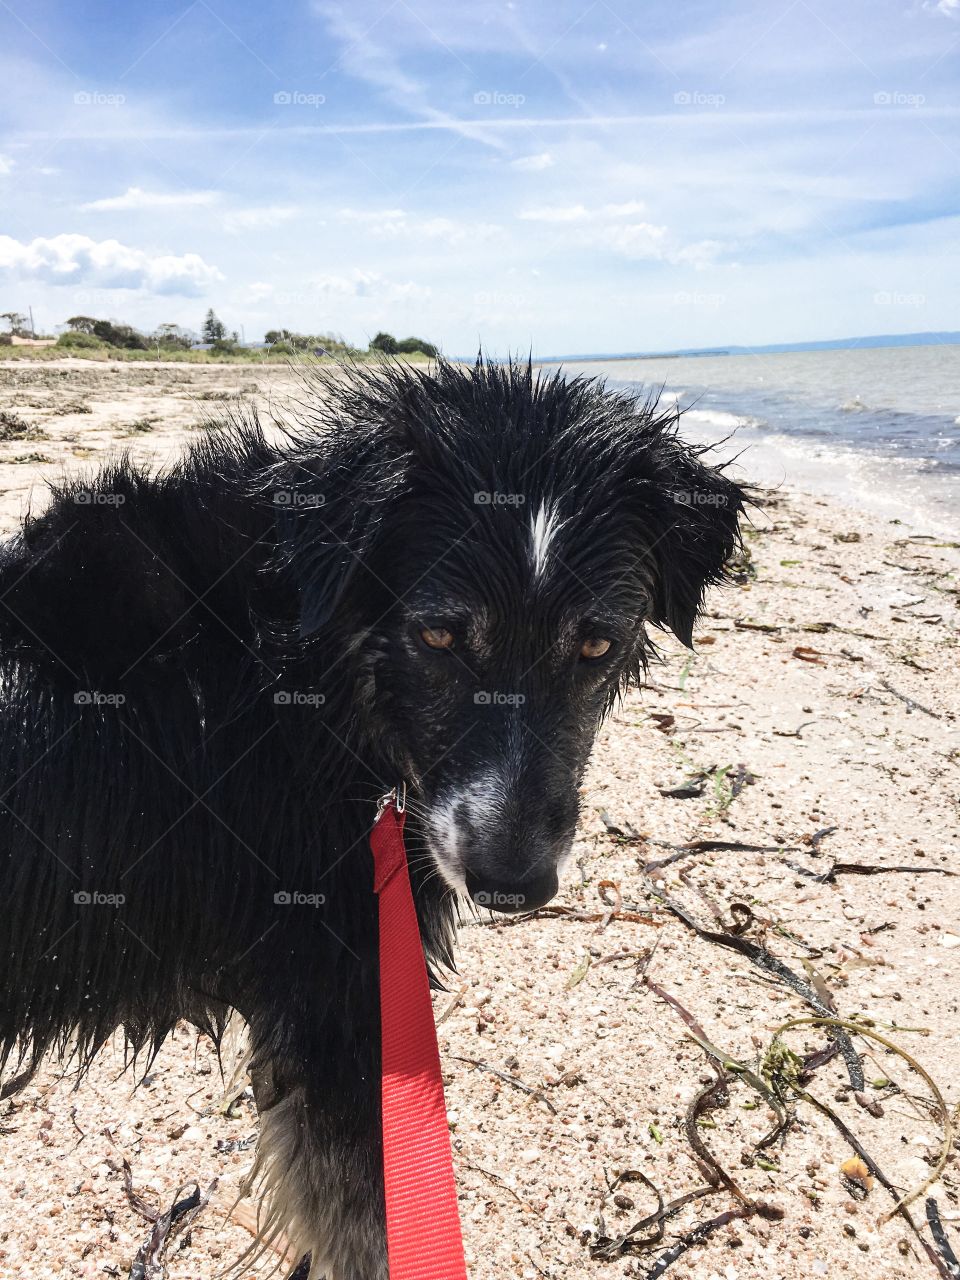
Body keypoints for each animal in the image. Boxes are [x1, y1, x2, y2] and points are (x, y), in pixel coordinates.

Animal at [0, 360, 747, 1280]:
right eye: (438, 637)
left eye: (596, 646)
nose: (512, 885)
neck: (291, 664)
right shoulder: (342, 1003)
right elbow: (370, 1231)